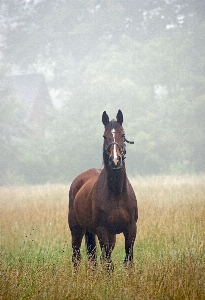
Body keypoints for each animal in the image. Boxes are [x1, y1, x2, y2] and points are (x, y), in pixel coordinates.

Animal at [68, 109, 138, 270]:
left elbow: (128, 260)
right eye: (105, 136)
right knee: (77, 257)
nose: (115, 160)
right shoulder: (102, 230)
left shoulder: (131, 229)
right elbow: (108, 263)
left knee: (93, 258)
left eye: (123, 135)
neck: (116, 193)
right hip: (76, 230)